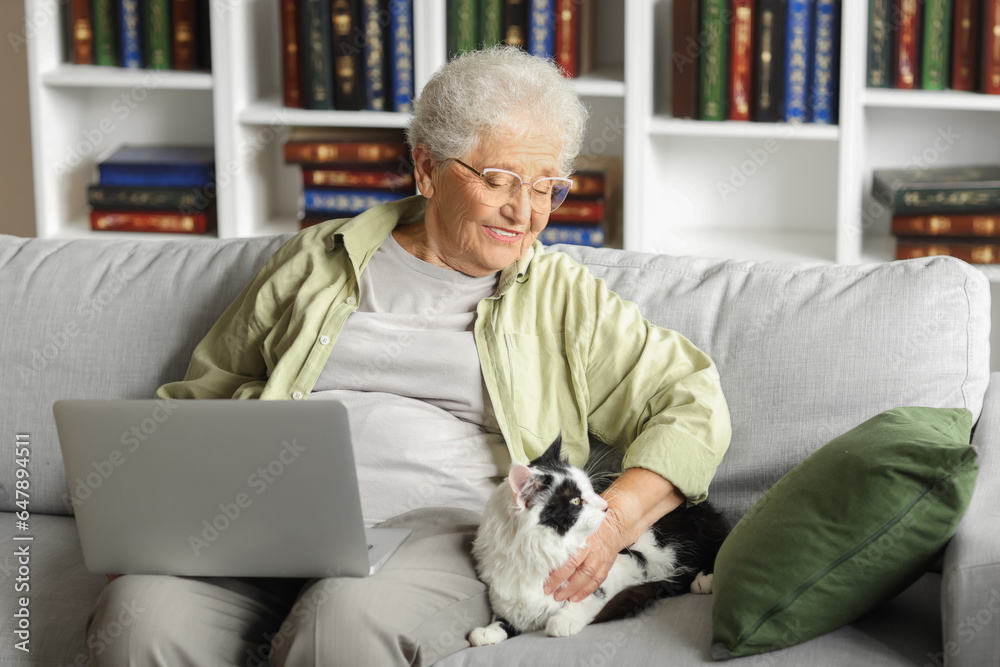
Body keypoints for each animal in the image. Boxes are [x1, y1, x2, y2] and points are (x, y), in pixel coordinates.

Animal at [468, 436, 728, 644]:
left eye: (592, 490)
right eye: (575, 501)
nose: (606, 506)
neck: (537, 554)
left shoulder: (623, 562)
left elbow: (590, 594)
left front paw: (564, 621)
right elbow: (507, 614)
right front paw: (488, 631)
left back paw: (705, 578)